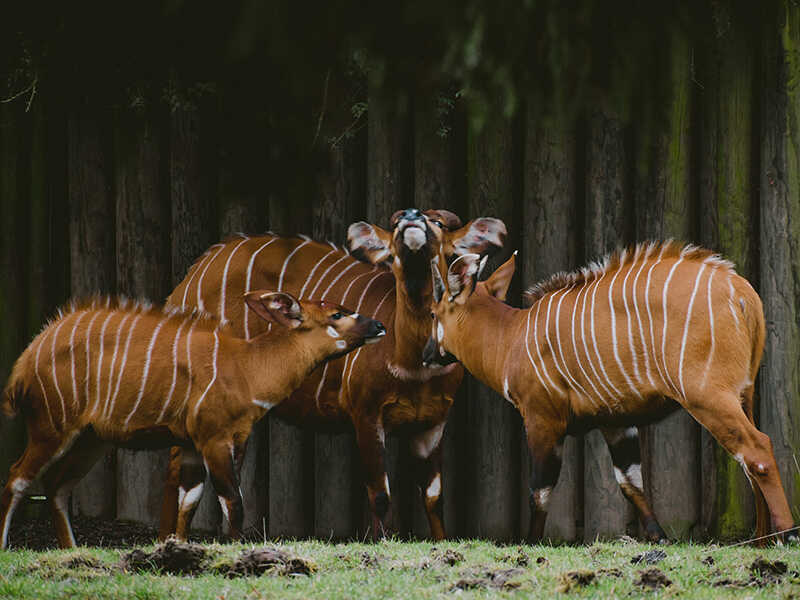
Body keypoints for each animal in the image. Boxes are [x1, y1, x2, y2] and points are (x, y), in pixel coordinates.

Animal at [0, 290, 388, 548]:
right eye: (337, 314)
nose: (380, 324)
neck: (247, 368)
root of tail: (26, 360)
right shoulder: (213, 438)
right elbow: (233, 500)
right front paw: (237, 552)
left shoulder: (193, 444)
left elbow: (189, 500)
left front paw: (178, 551)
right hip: (52, 428)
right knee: (17, 478)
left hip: (91, 438)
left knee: (57, 485)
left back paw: (71, 551)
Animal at [158, 209, 506, 540]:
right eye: (395, 223)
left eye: (438, 222)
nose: (411, 216)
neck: (414, 364)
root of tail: (194, 273)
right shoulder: (366, 414)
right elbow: (380, 494)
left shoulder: (433, 423)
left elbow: (433, 496)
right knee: (179, 469)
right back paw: (170, 540)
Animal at [422, 243, 796, 544]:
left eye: (433, 313)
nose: (426, 354)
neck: (512, 337)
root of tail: (741, 291)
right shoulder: (615, 423)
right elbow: (630, 482)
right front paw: (659, 538)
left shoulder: (542, 420)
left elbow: (540, 490)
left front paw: (529, 543)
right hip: (743, 395)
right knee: (748, 458)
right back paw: (761, 539)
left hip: (709, 398)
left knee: (757, 449)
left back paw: (786, 535)